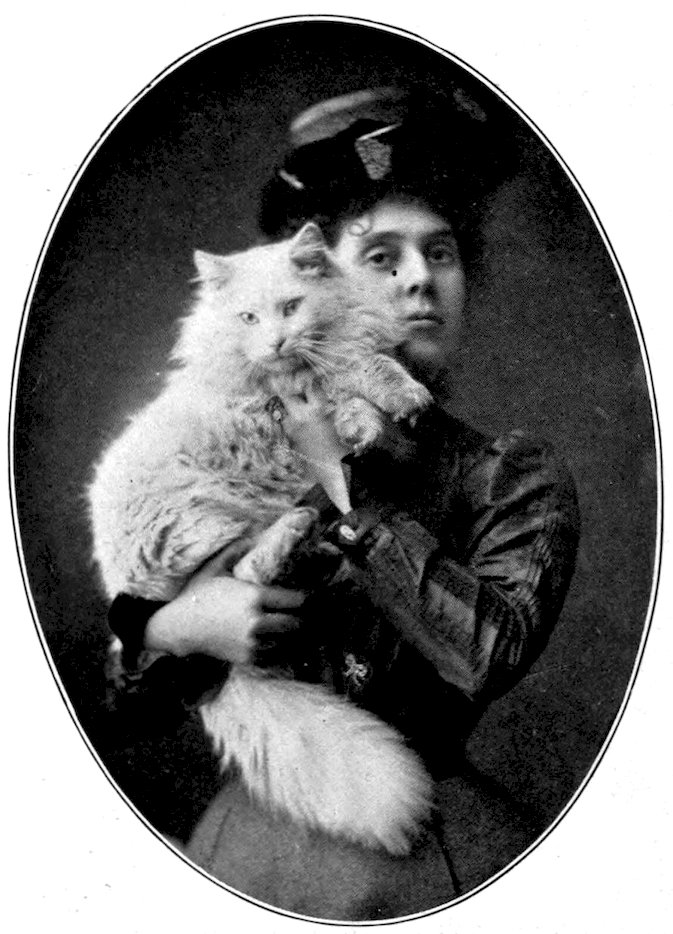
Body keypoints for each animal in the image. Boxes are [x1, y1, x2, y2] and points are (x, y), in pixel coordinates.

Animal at [88, 222, 434, 854]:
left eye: (291, 308)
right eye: (248, 318)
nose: (275, 343)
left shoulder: (335, 370)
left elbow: (362, 393)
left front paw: (377, 427)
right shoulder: (317, 377)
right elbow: (368, 371)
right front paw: (403, 401)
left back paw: (318, 545)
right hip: (200, 518)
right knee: (247, 570)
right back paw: (299, 534)